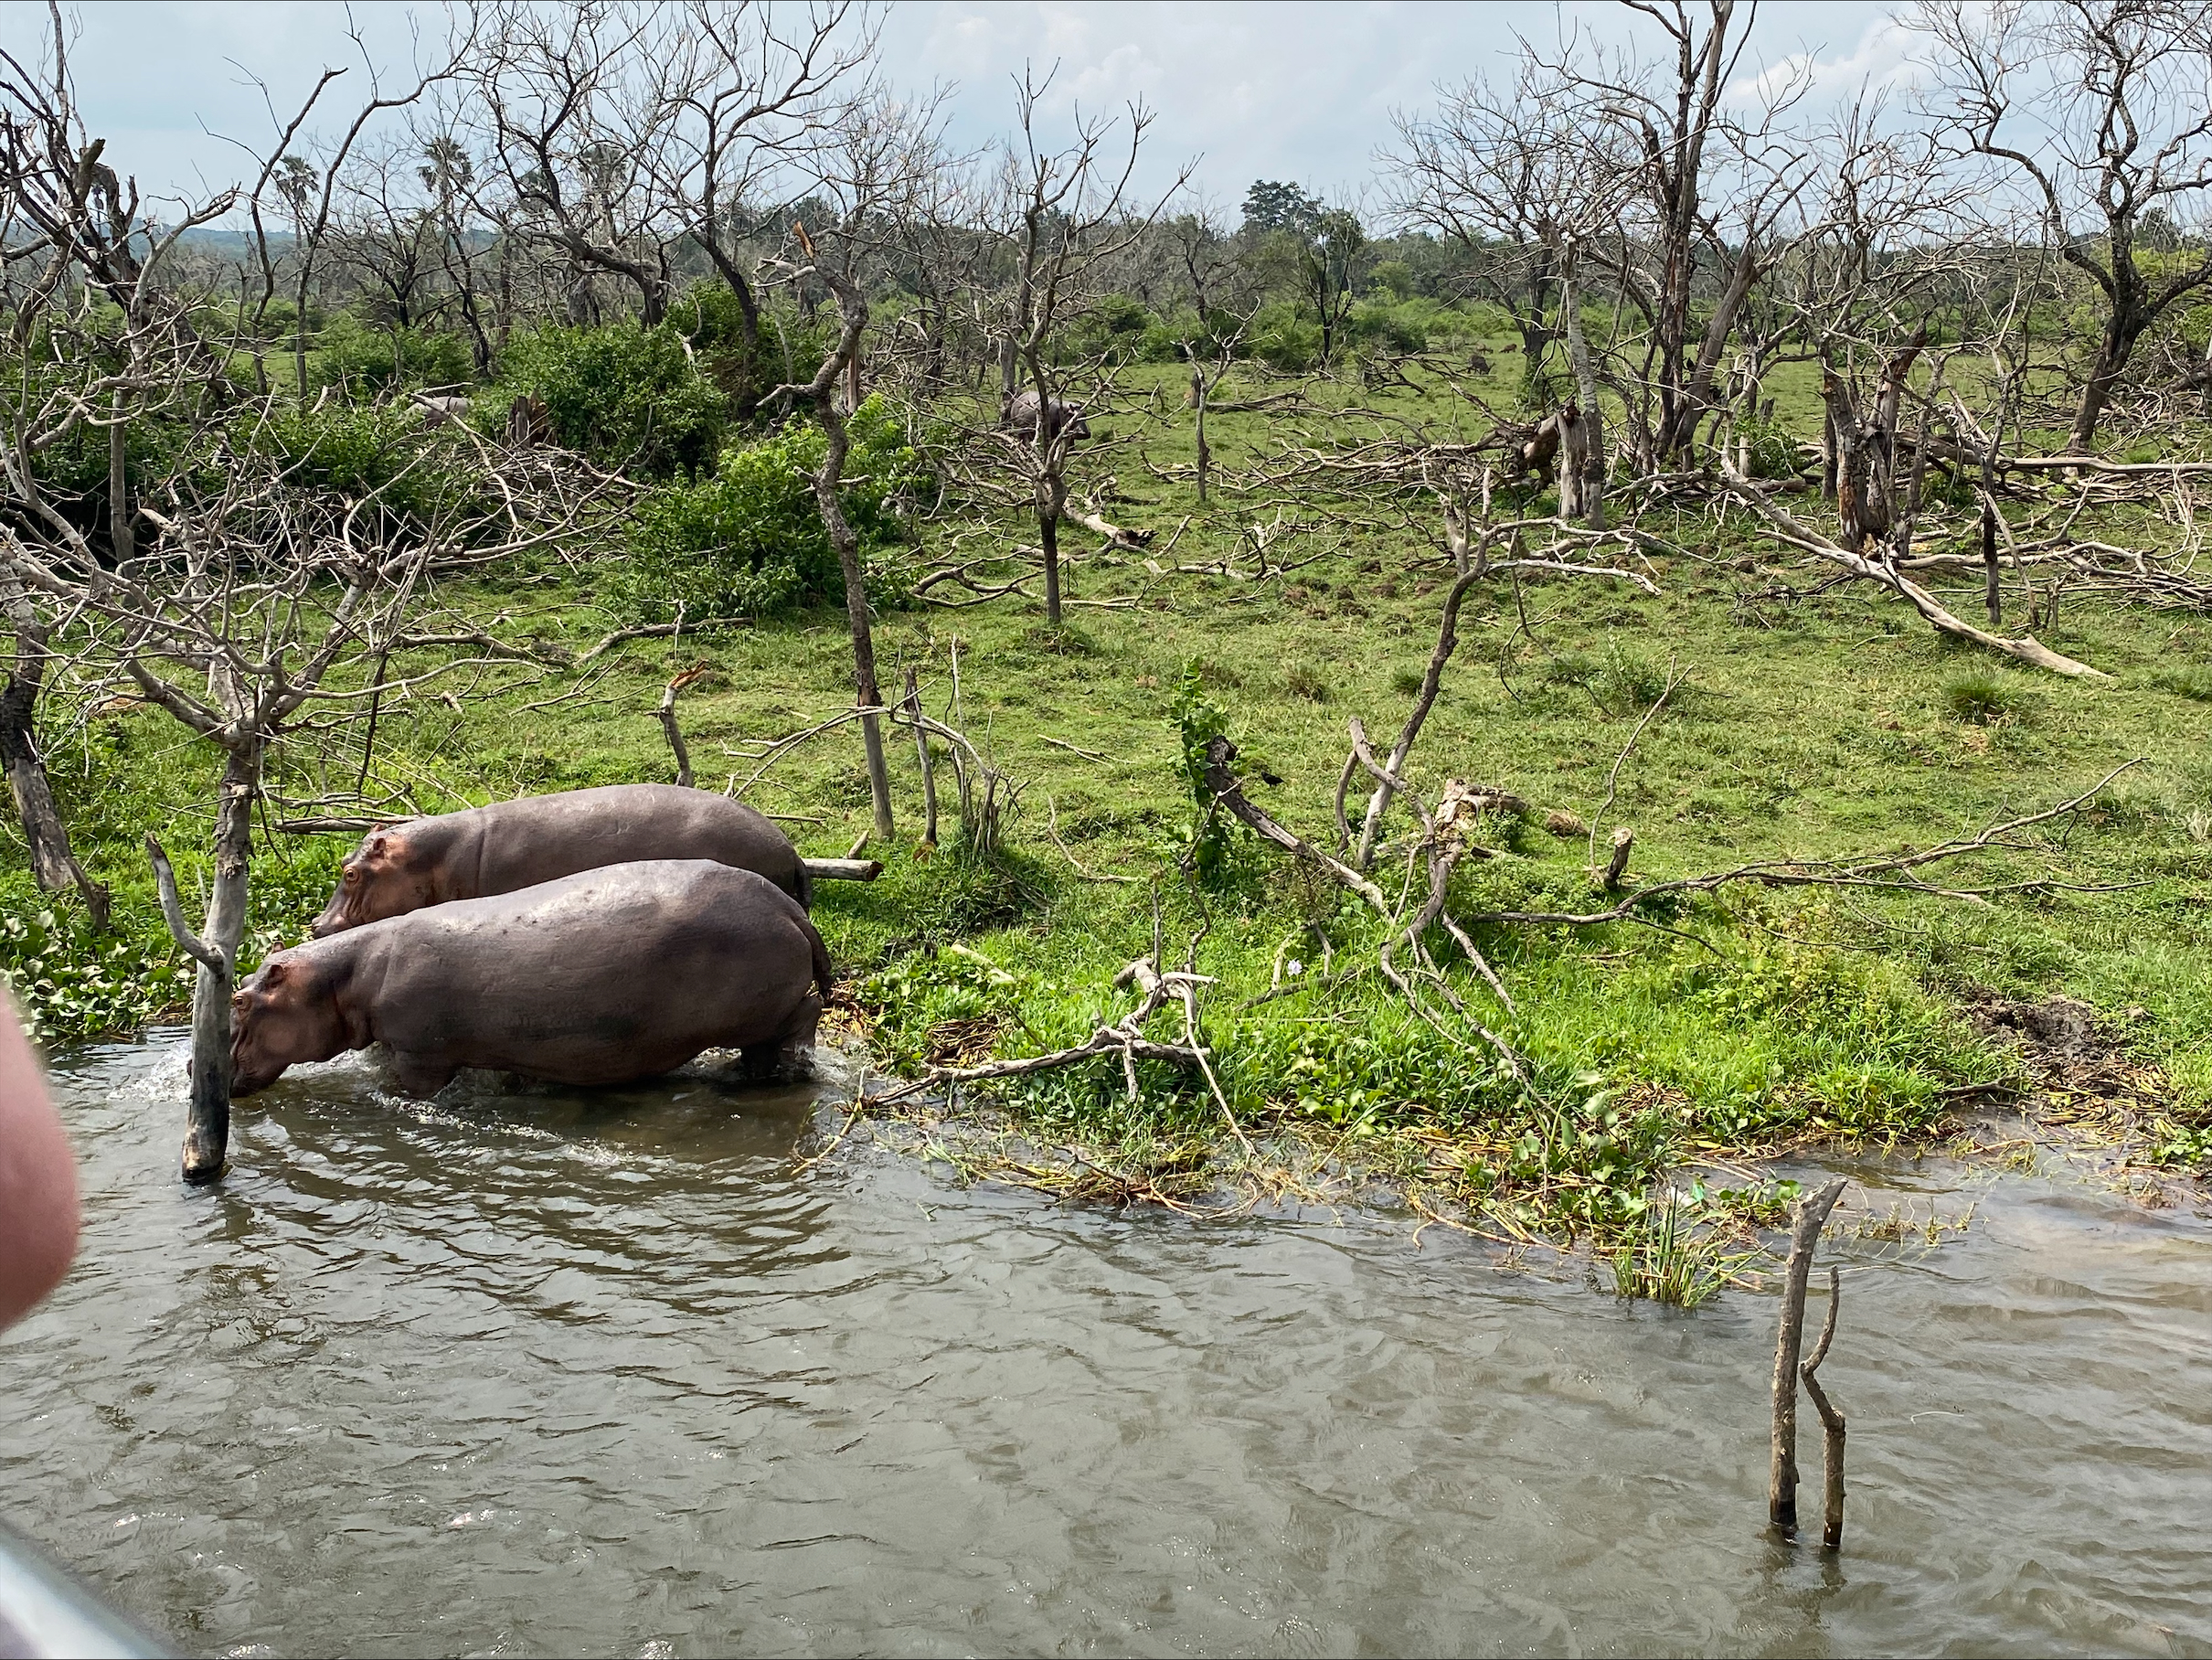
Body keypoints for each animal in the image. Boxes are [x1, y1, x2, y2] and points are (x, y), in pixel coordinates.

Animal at [230, 858, 831, 1106]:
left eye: (240, 1000)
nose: (210, 1071)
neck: (347, 977)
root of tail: (787, 908)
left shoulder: (419, 1055)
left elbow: (410, 1089)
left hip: (762, 1010)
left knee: (804, 1017)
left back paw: (785, 1069)